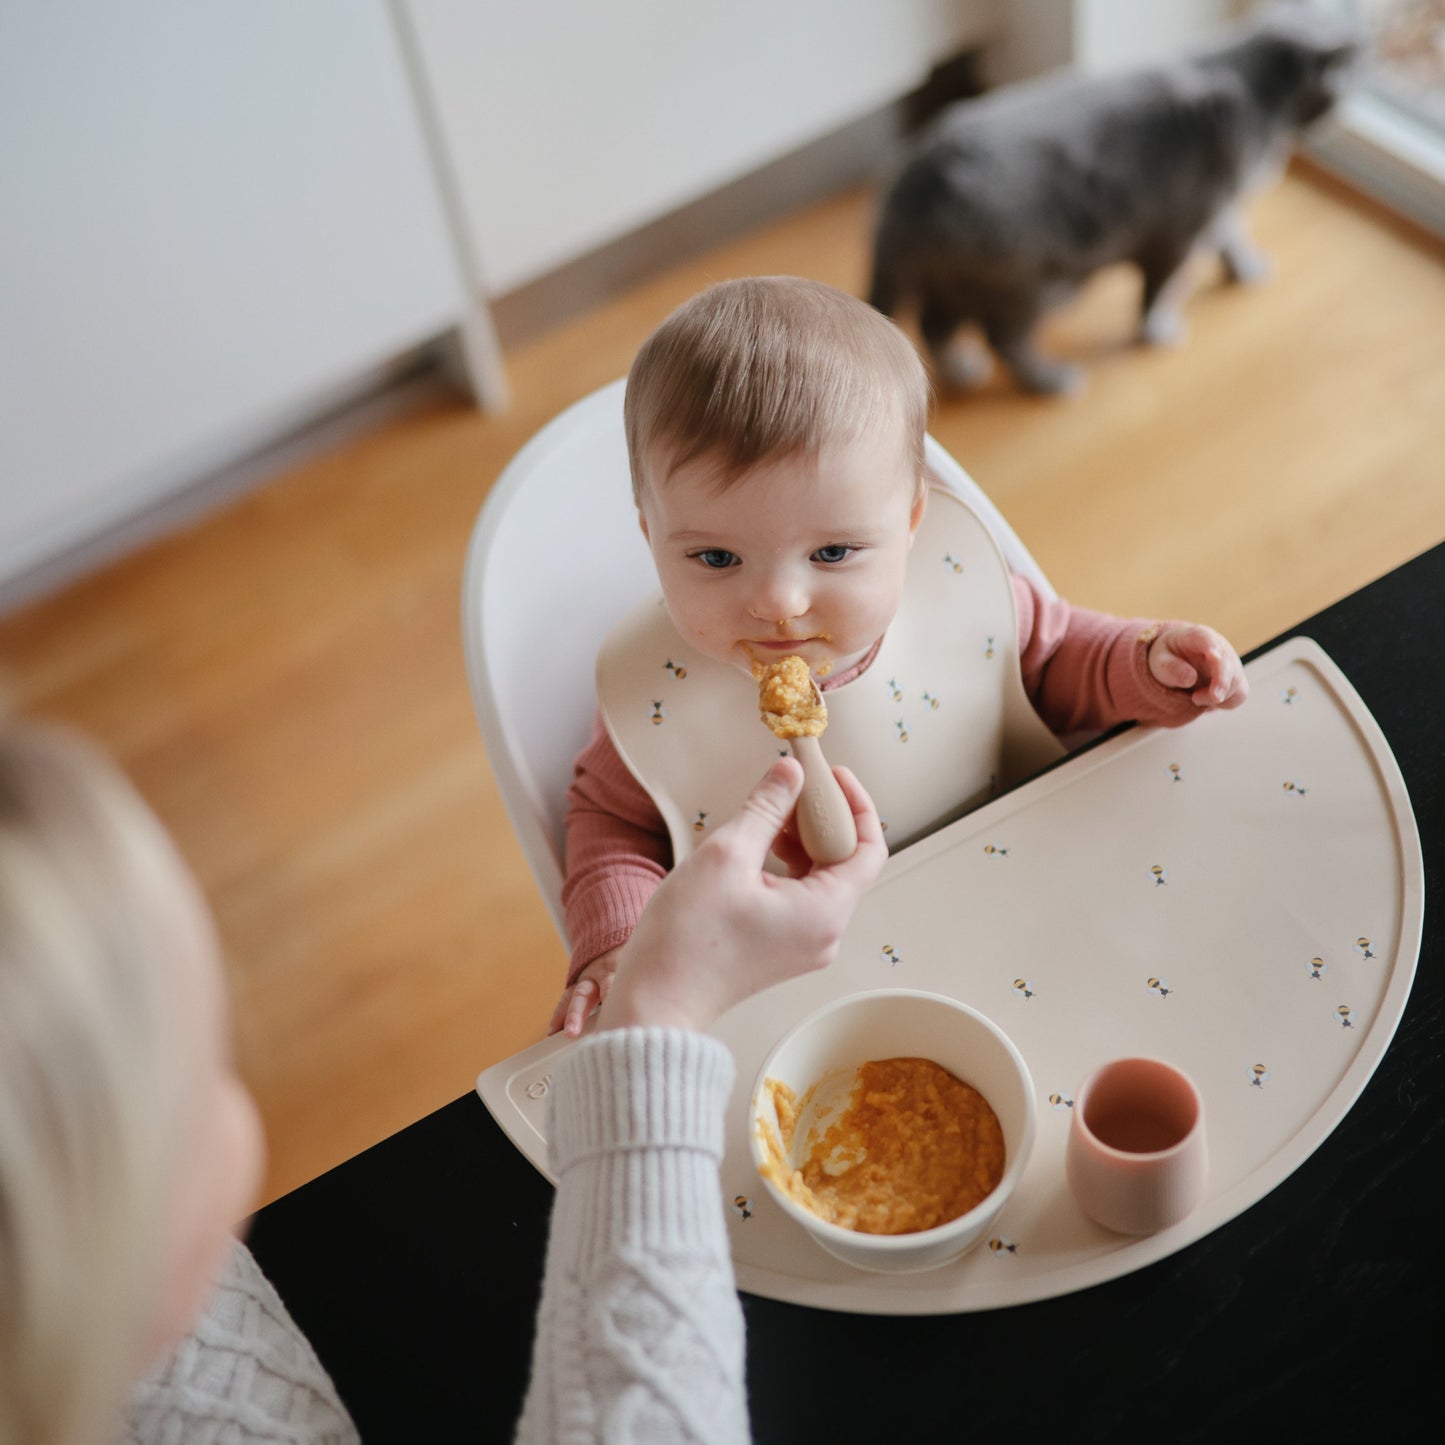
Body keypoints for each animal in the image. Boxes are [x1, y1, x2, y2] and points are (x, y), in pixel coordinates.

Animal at [867, 4, 1352, 395]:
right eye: (1351, 74)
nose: (1344, 110)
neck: (1248, 88)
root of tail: (915, 174)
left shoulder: (1219, 210)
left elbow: (1233, 236)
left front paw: (1246, 268)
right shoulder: (1183, 230)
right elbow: (1160, 289)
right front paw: (1158, 330)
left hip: (961, 281)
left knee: (934, 323)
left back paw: (961, 373)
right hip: (1039, 283)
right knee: (1000, 336)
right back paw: (1051, 380)